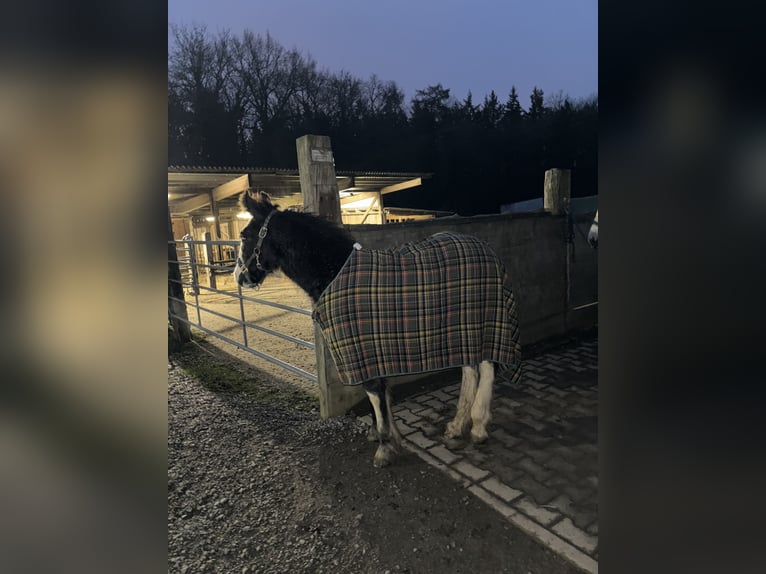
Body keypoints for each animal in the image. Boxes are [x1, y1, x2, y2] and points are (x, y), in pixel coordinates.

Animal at [234, 191, 520, 470]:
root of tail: (486, 250)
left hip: (486, 322)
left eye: (245, 235)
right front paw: (387, 436)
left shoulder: (361, 350)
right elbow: (379, 396)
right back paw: (457, 425)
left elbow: (375, 394)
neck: (335, 273)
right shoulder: (368, 352)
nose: (239, 276)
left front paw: (384, 447)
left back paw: (478, 427)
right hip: (461, 331)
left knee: (486, 366)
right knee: (469, 369)